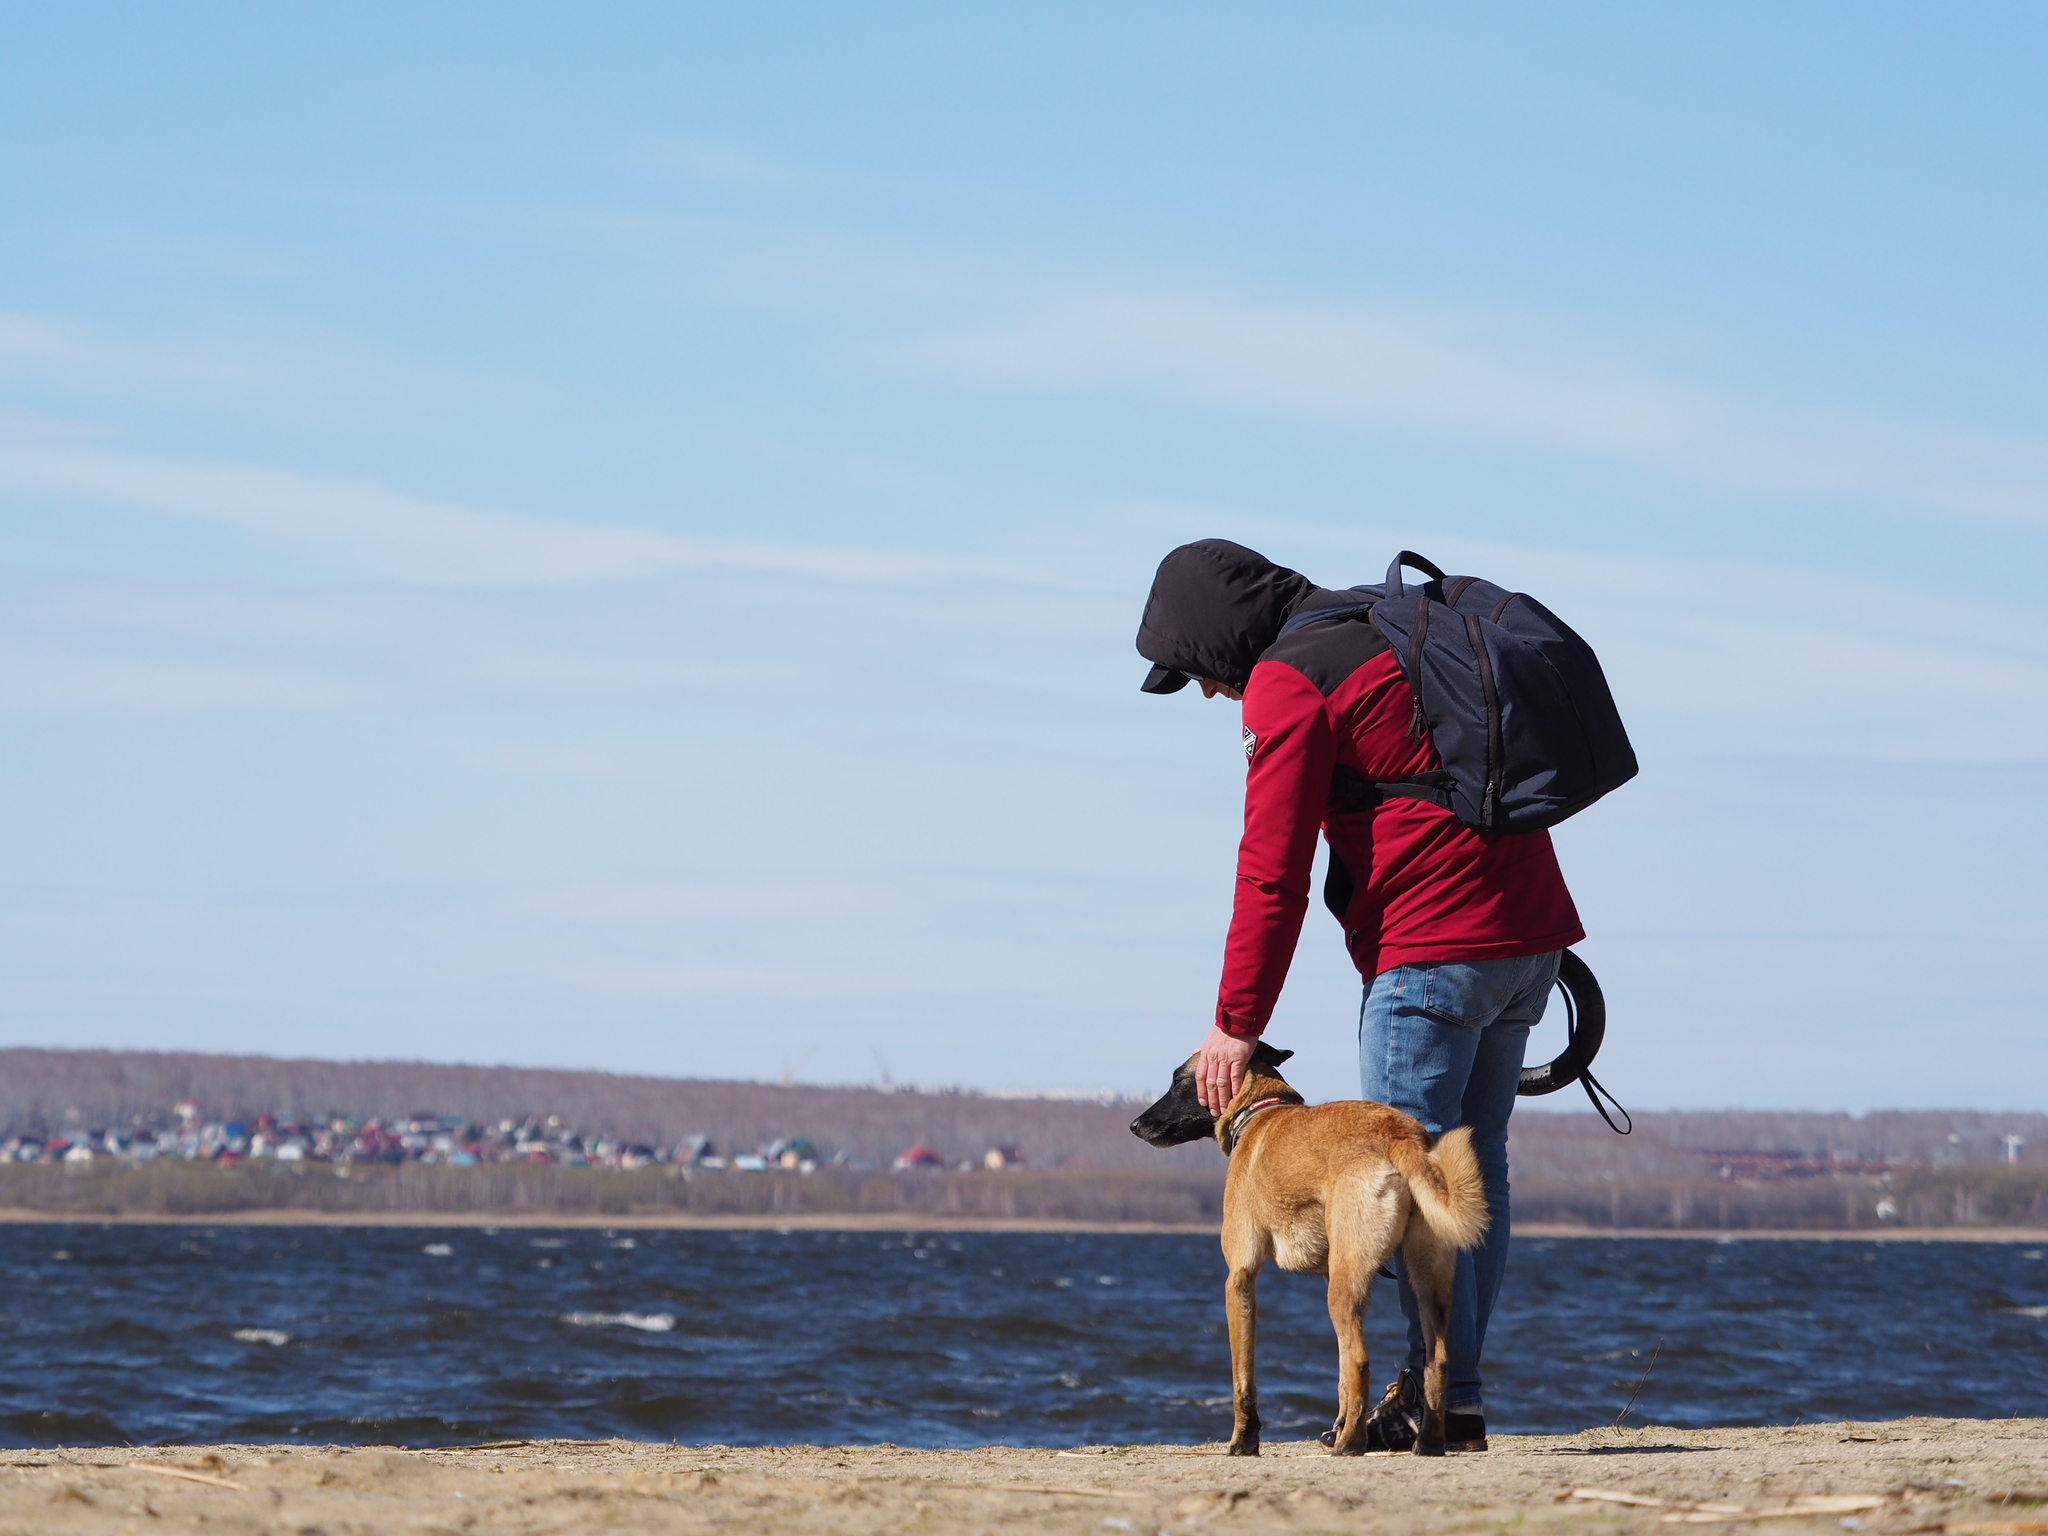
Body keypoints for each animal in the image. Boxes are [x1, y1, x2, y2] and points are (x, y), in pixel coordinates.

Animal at [1138, 1048, 1490, 1458]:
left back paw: (1351, 1443)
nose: (1135, 1125)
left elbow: (1243, 1378)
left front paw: (1244, 1440)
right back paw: (1427, 1442)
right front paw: (1336, 1422)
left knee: (1359, 1361)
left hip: (1345, 1285)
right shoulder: (1327, 1271)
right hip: (1421, 1280)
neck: (1260, 1108)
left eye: (1179, 1080)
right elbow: (1339, 1375)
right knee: (1437, 1361)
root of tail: (1400, 1135)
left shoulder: (1239, 1278)